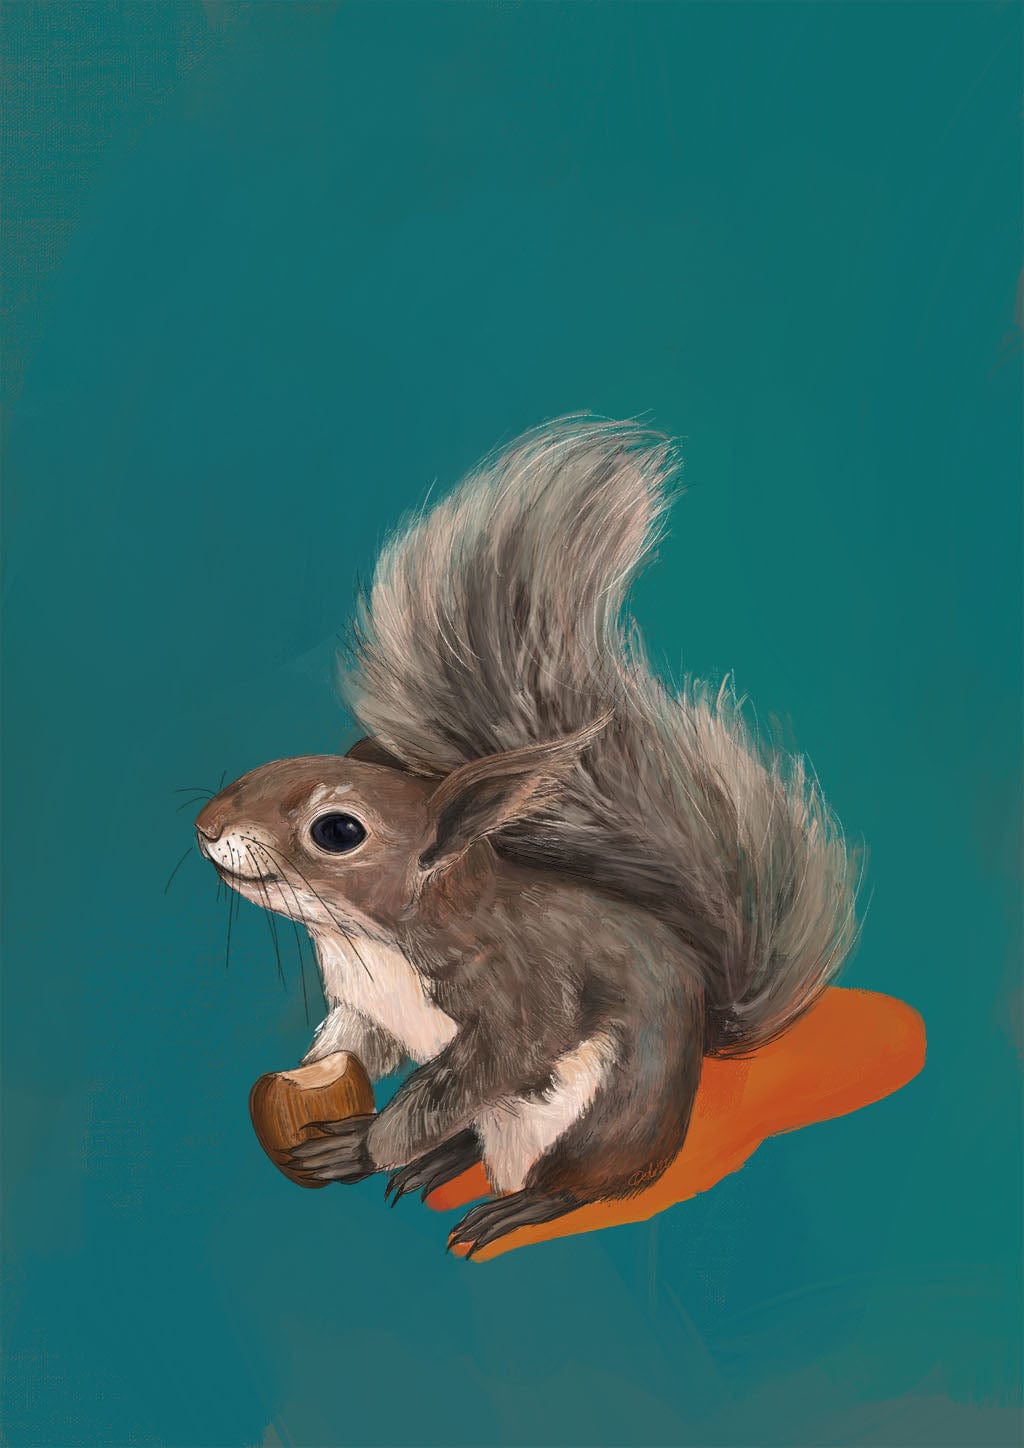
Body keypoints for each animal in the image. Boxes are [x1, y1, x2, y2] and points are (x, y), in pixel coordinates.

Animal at [195, 415, 859, 1255]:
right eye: (272, 763)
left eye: (337, 830)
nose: (205, 826)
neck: (371, 939)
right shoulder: (361, 1006)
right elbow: (350, 1045)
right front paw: (318, 1087)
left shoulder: (520, 994)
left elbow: (483, 1066)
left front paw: (374, 1143)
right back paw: (426, 1164)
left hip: (595, 1119)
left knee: (578, 1180)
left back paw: (502, 1201)